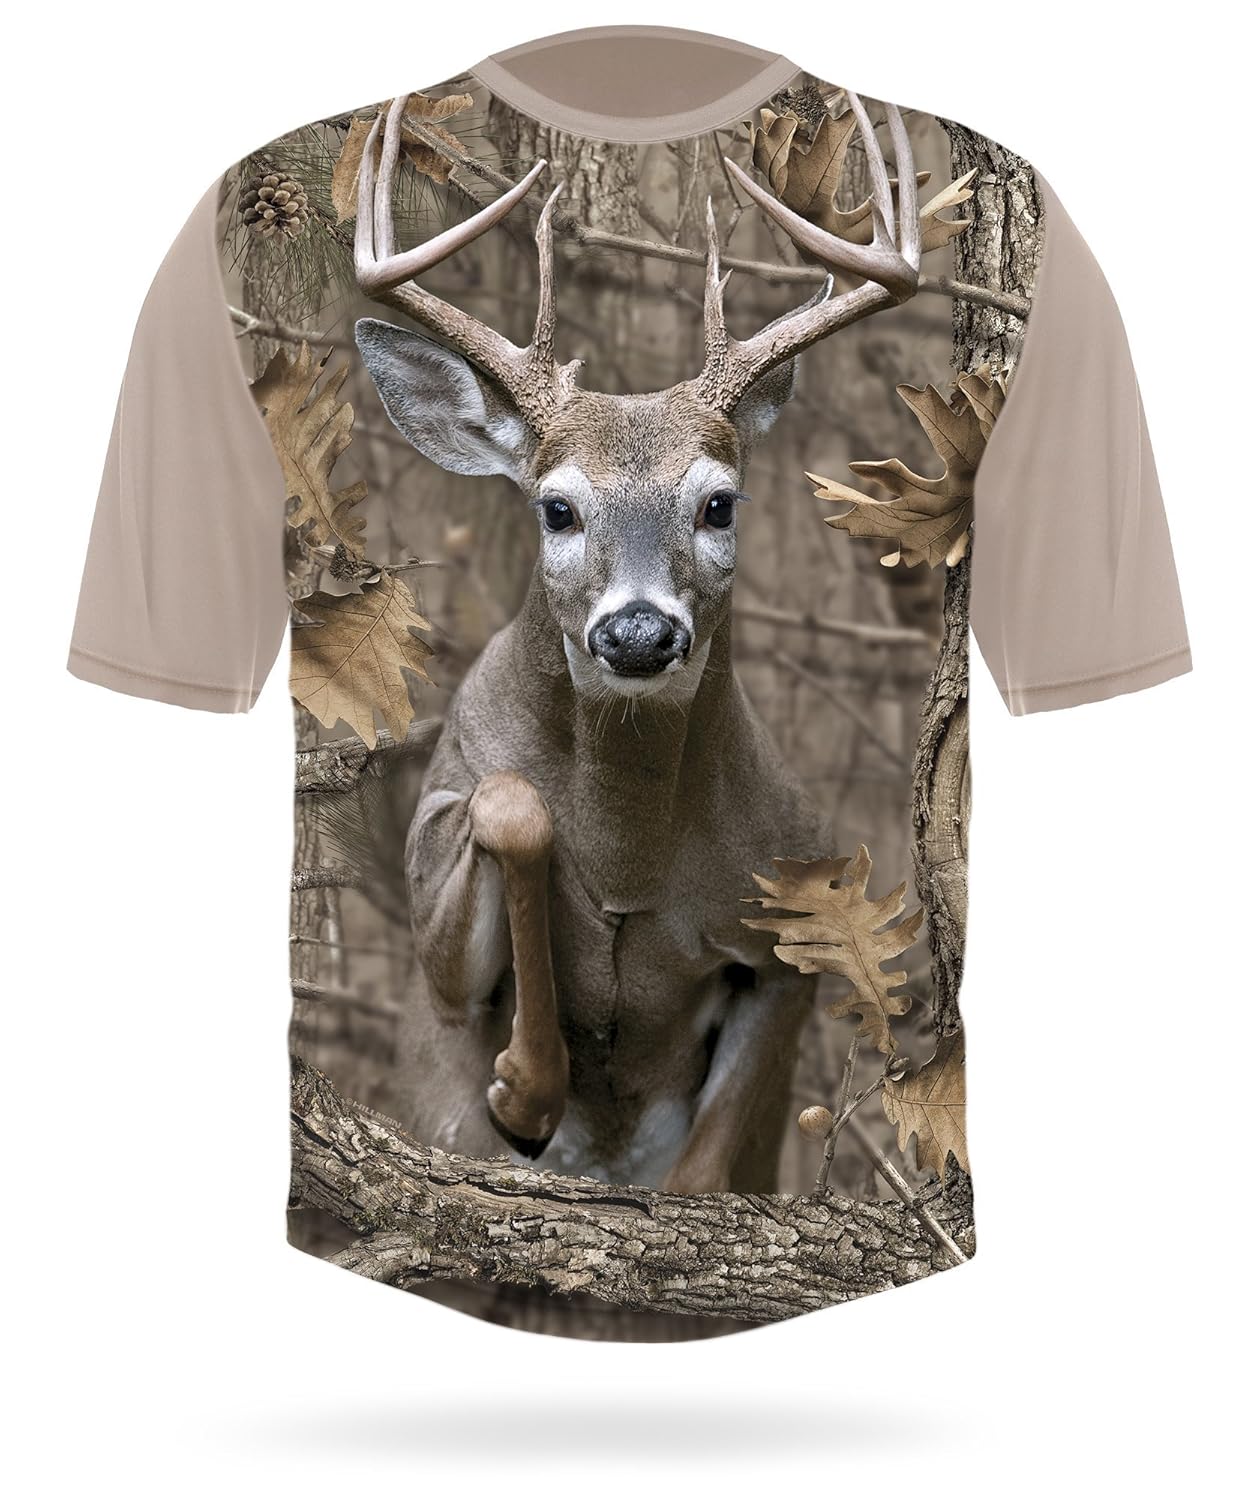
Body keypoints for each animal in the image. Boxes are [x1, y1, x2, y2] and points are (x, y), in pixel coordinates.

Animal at [351, 91, 923, 1193]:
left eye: (719, 502)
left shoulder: (792, 919)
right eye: (557, 508)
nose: (640, 632)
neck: (631, 864)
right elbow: (511, 809)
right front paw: (525, 1090)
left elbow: (703, 1173)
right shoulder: (432, 882)